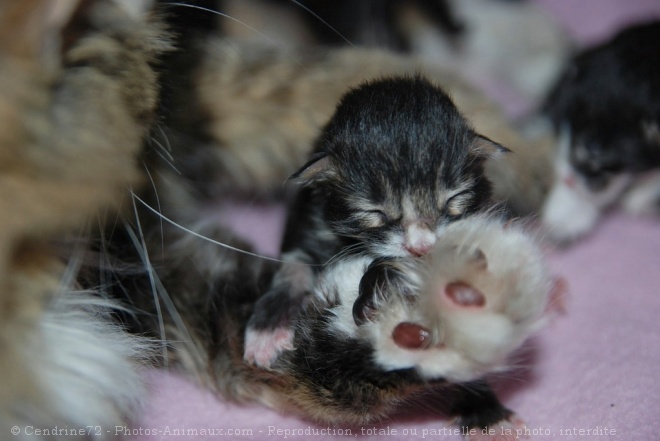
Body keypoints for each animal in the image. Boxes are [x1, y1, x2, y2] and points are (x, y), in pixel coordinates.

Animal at [245, 76, 508, 368]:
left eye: (454, 199)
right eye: (375, 212)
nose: (421, 247)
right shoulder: (311, 220)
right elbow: (293, 268)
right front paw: (266, 332)